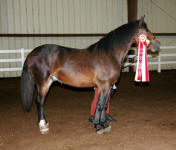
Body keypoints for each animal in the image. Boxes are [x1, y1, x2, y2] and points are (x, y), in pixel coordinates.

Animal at [20, 17, 160, 134]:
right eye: (146, 31)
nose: (157, 45)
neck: (109, 54)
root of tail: (33, 53)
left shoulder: (107, 87)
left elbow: (104, 105)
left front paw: (103, 124)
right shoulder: (103, 86)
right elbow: (100, 105)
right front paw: (98, 126)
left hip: (48, 81)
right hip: (43, 83)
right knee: (40, 101)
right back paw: (43, 125)